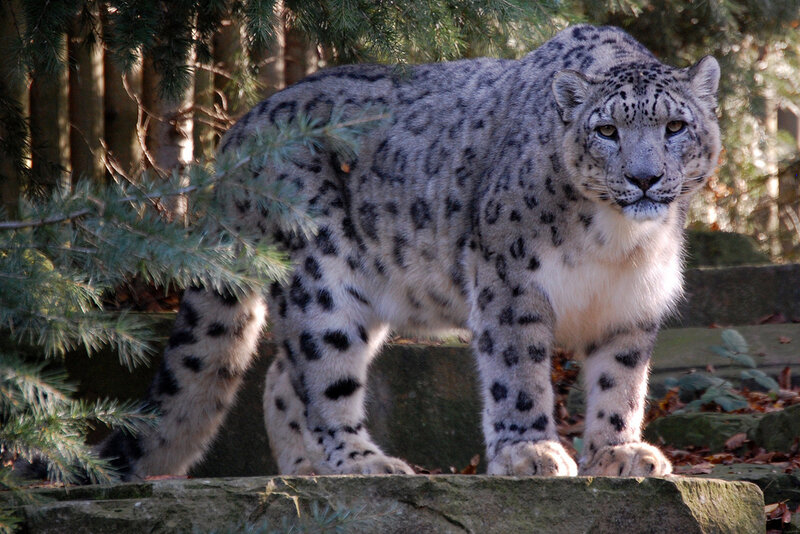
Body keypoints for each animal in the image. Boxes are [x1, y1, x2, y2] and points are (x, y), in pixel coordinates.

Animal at [99, 24, 721, 479]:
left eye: (674, 125)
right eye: (607, 131)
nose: (644, 178)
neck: (618, 244)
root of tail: (238, 132)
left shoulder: (633, 303)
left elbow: (622, 381)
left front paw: (620, 452)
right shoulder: (510, 281)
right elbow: (518, 370)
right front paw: (530, 451)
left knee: (281, 376)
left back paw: (306, 469)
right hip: (319, 274)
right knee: (321, 371)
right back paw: (362, 463)